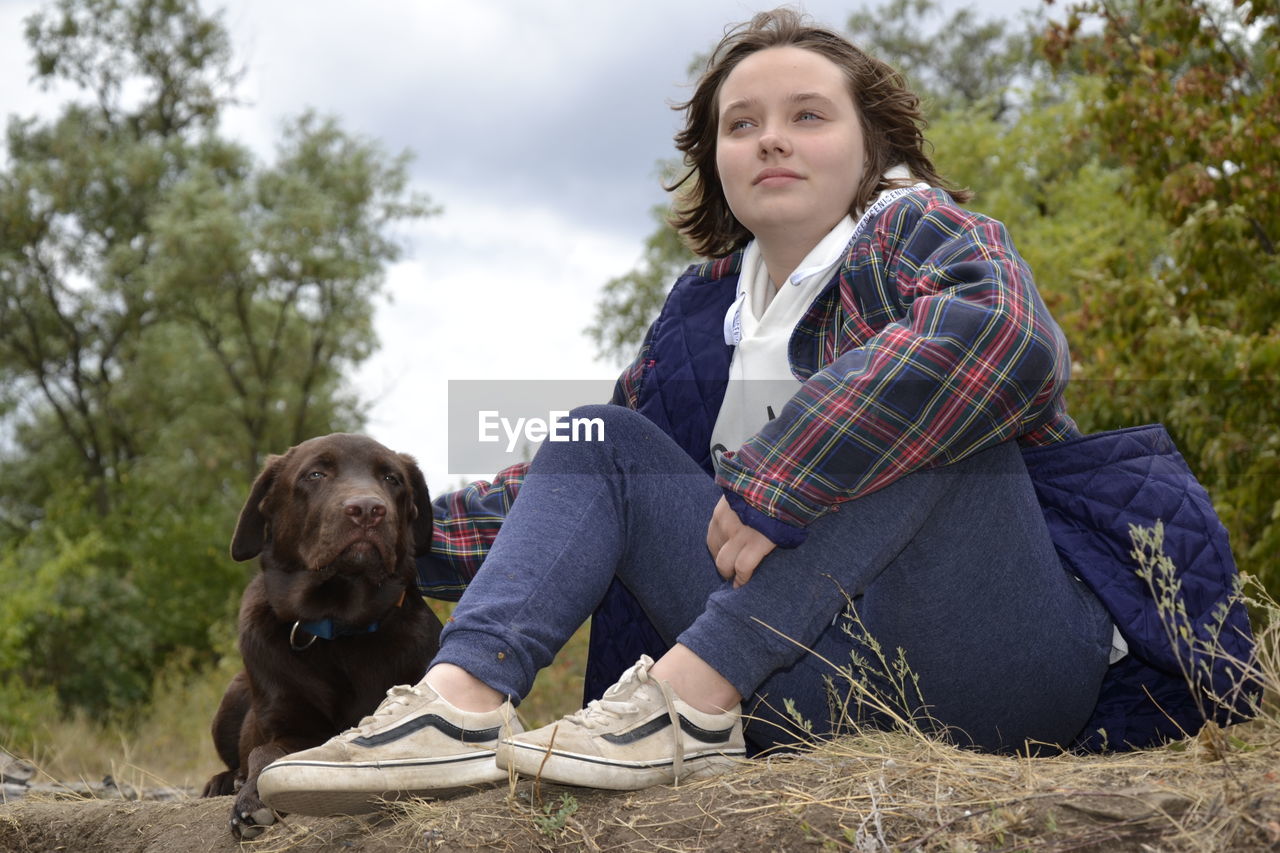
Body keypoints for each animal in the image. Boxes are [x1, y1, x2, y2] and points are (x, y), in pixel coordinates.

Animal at [203, 432, 445, 835]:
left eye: (392, 479)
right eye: (315, 474)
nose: (368, 509)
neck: (339, 625)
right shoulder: (288, 724)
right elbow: (264, 751)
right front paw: (252, 798)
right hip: (232, 695)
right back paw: (225, 779)